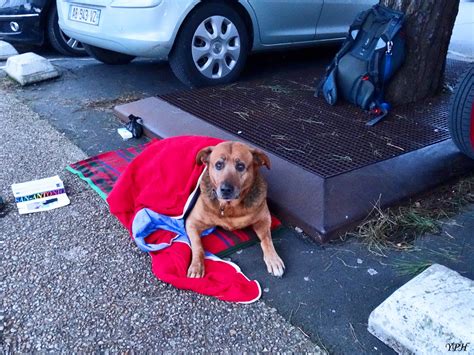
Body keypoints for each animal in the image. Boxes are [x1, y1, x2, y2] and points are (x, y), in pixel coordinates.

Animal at [185, 141, 286, 278]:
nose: (225, 189)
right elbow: (197, 245)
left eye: (240, 166)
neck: (230, 207)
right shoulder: (192, 222)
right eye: (218, 165)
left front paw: (273, 259)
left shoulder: (264, 220)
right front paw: (196, 265)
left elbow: (267, 239)